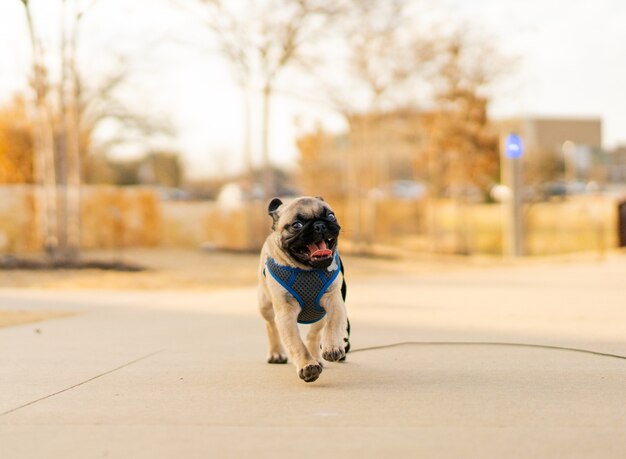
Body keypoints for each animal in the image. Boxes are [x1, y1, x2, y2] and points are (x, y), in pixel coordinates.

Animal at [256, 196, 348, 382]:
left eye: (331, 215)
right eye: (297, 225)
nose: (319, 225)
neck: (306, 270)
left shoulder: (335, 302)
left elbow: (333, 325)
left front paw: (332, 347)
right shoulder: (286, 316)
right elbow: (297, 344)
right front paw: (307, 365)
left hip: (319, 315)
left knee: (313, 335)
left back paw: (317, 357)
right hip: (265, 305)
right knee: (271, 326)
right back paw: (276, 353)